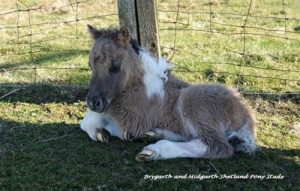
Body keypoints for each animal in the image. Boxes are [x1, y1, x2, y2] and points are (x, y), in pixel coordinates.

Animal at [80, 25, 255, 162]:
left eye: (115, 66)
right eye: (90, 65)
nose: (93, 102)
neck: (139, 86)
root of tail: (247, 115)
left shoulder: (136, 118)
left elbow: (91, 119)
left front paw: (120, 133)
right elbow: (87, 120)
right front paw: (104, 133)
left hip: (194, 102)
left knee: (216, 145)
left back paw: (152, 151)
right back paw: (152, 135)